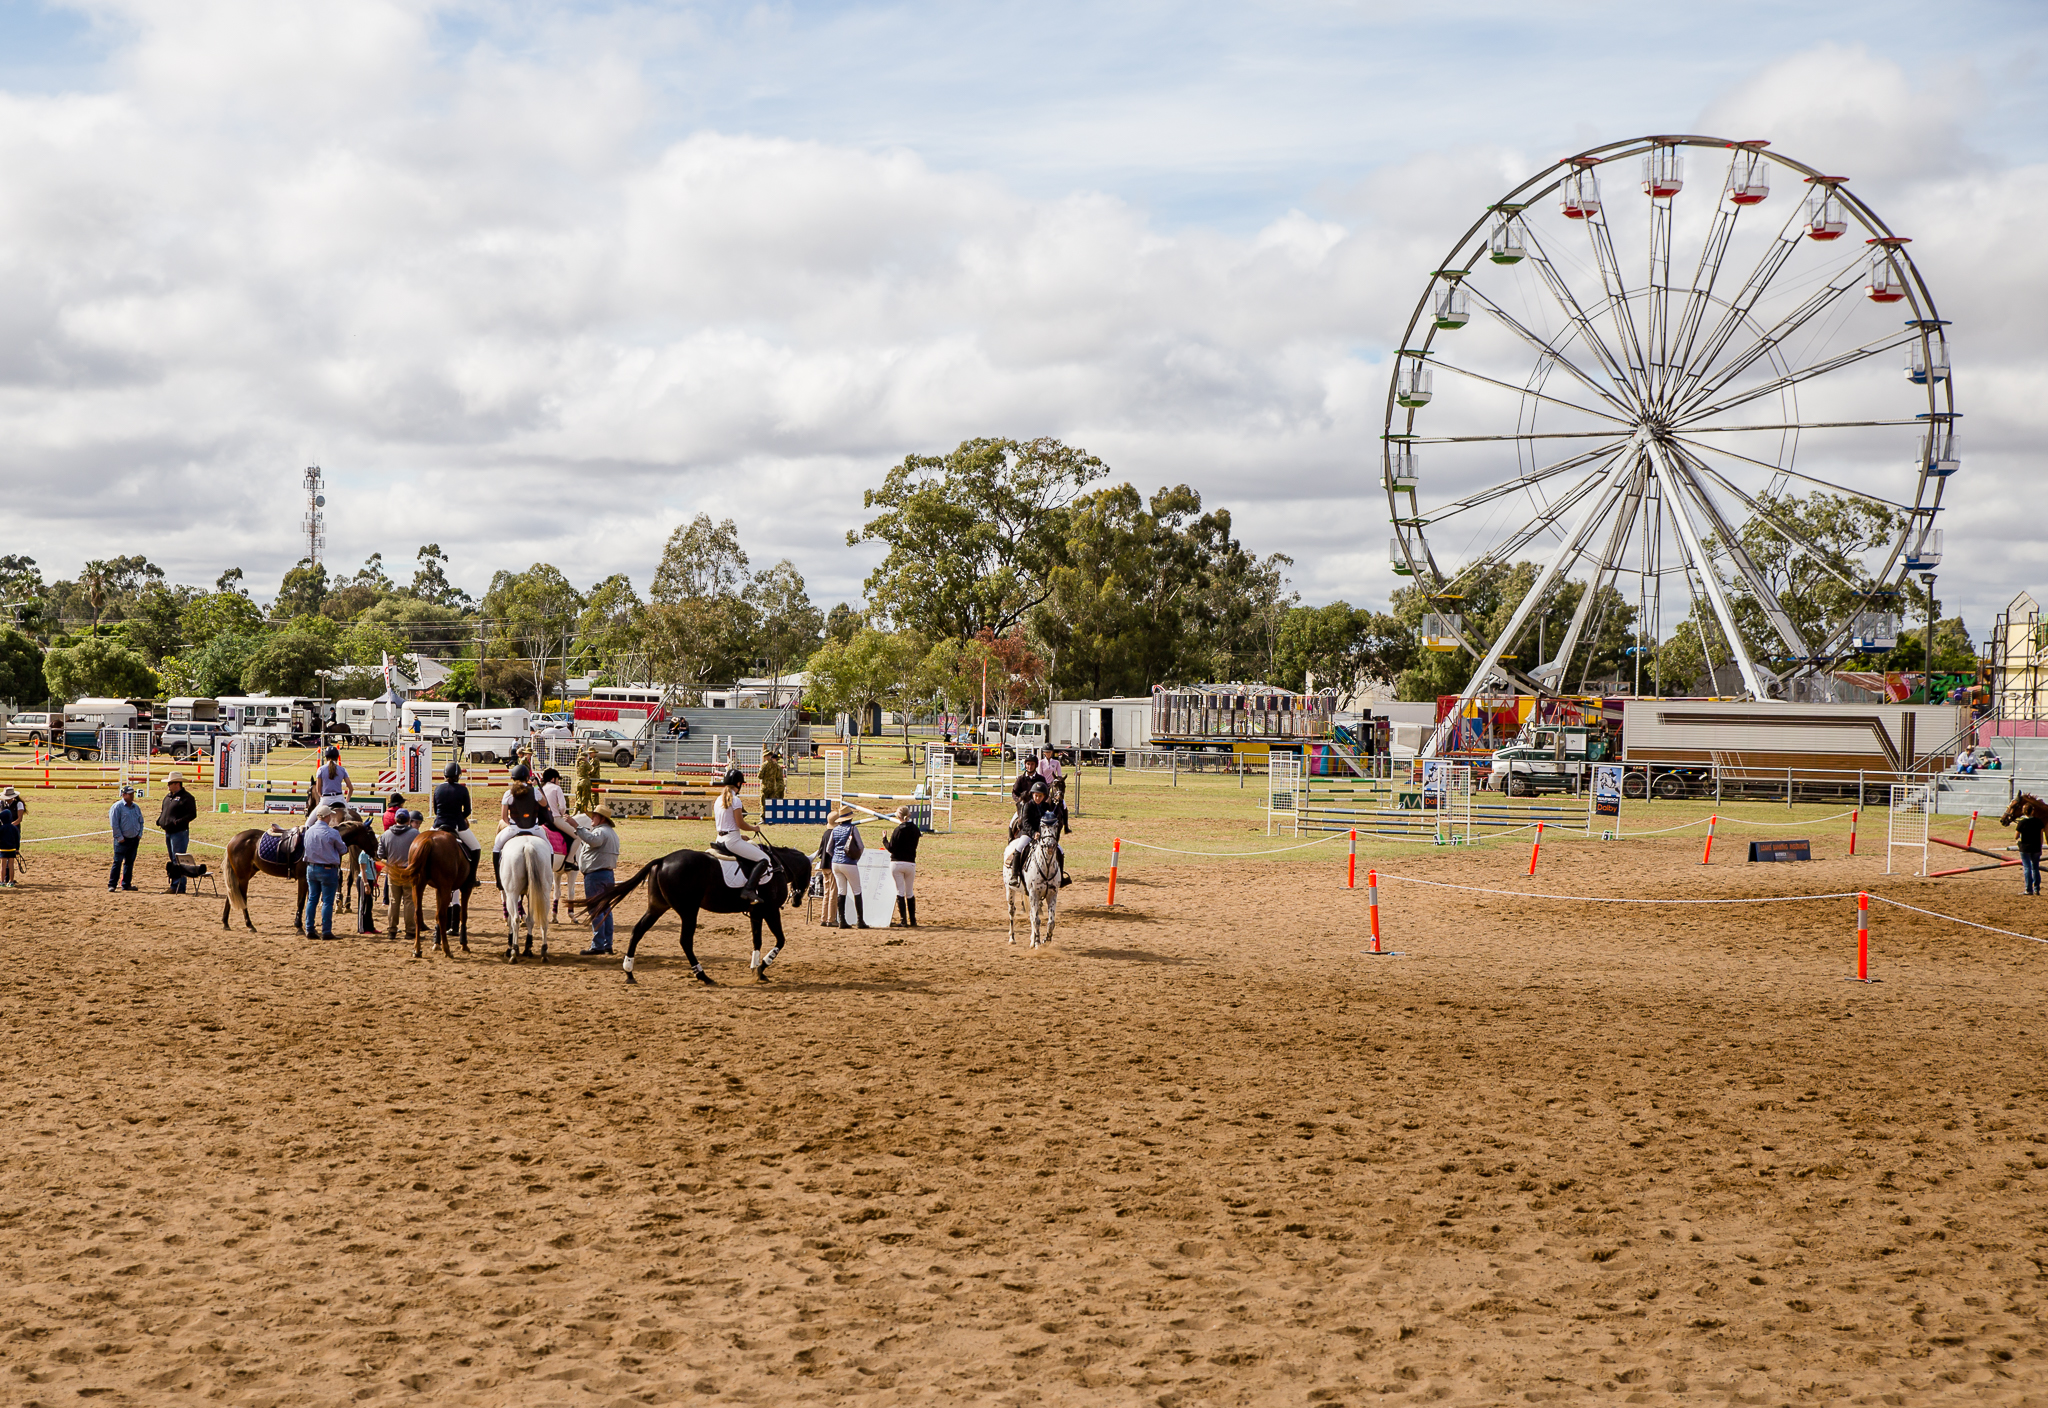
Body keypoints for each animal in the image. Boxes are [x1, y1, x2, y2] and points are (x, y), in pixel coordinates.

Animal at [222, 814, 382, 933]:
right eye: (370, 833)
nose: (378, 852)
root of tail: (233, 840)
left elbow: (310, 902)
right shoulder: (303, 879)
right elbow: (301, 902)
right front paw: (299, 926)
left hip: (245, 875)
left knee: (231, 896)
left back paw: (225, 923)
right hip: (243, 877)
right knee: (242, 898)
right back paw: (249, 925)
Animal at [499, 830, 557, 961]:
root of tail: (528, 846)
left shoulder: (509, 894)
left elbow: (511, 919)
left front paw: (510, 947)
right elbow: (530, 919)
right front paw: (527, 947)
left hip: (512, 894)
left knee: (515, 919)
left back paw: (514, 952)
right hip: (543, 893)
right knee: (543, 920)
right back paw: (543, 951)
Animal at [1003, 814, 1064, 945]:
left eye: (1056, 825)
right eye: (1042, 825)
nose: (1050, 845)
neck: (1046, 866)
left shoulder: (1052, 894)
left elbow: (1050, 921)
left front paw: (1046, 940)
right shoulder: (1034, 893)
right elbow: (1036, 920)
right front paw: (1037, 942)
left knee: (1031, 914)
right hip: (1010, 890)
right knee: (1012, 911)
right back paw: (1012, 938)